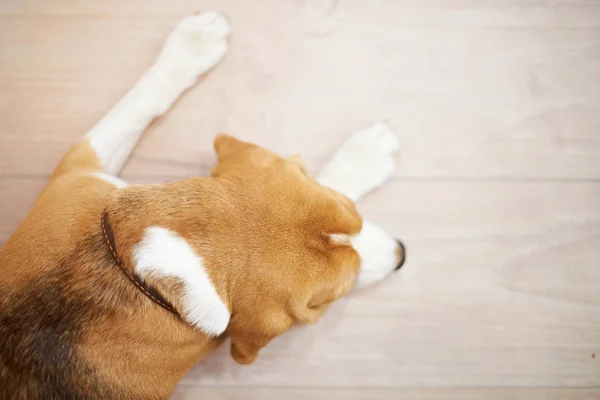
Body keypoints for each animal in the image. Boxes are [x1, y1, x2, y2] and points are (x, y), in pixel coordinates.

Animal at [0, 10, 406, 398]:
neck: (142, 269)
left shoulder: (81, 174)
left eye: (354, 212)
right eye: (326, 302)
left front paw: (193, 43)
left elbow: (141, 100)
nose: (402, 253)